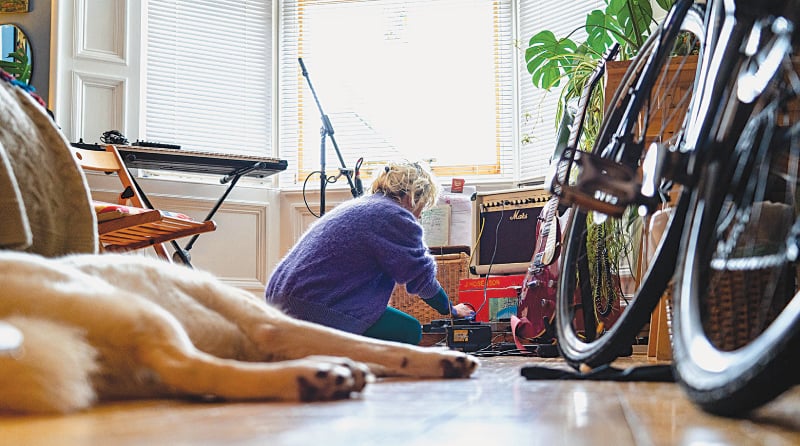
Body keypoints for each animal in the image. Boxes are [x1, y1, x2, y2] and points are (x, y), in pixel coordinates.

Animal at [0, 253, 476, 412]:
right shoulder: (272, 327)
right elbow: (377, 344)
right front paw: (444, 358)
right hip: (136, 309)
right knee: (191, 367)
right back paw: (314, 376)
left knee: (201, 378)